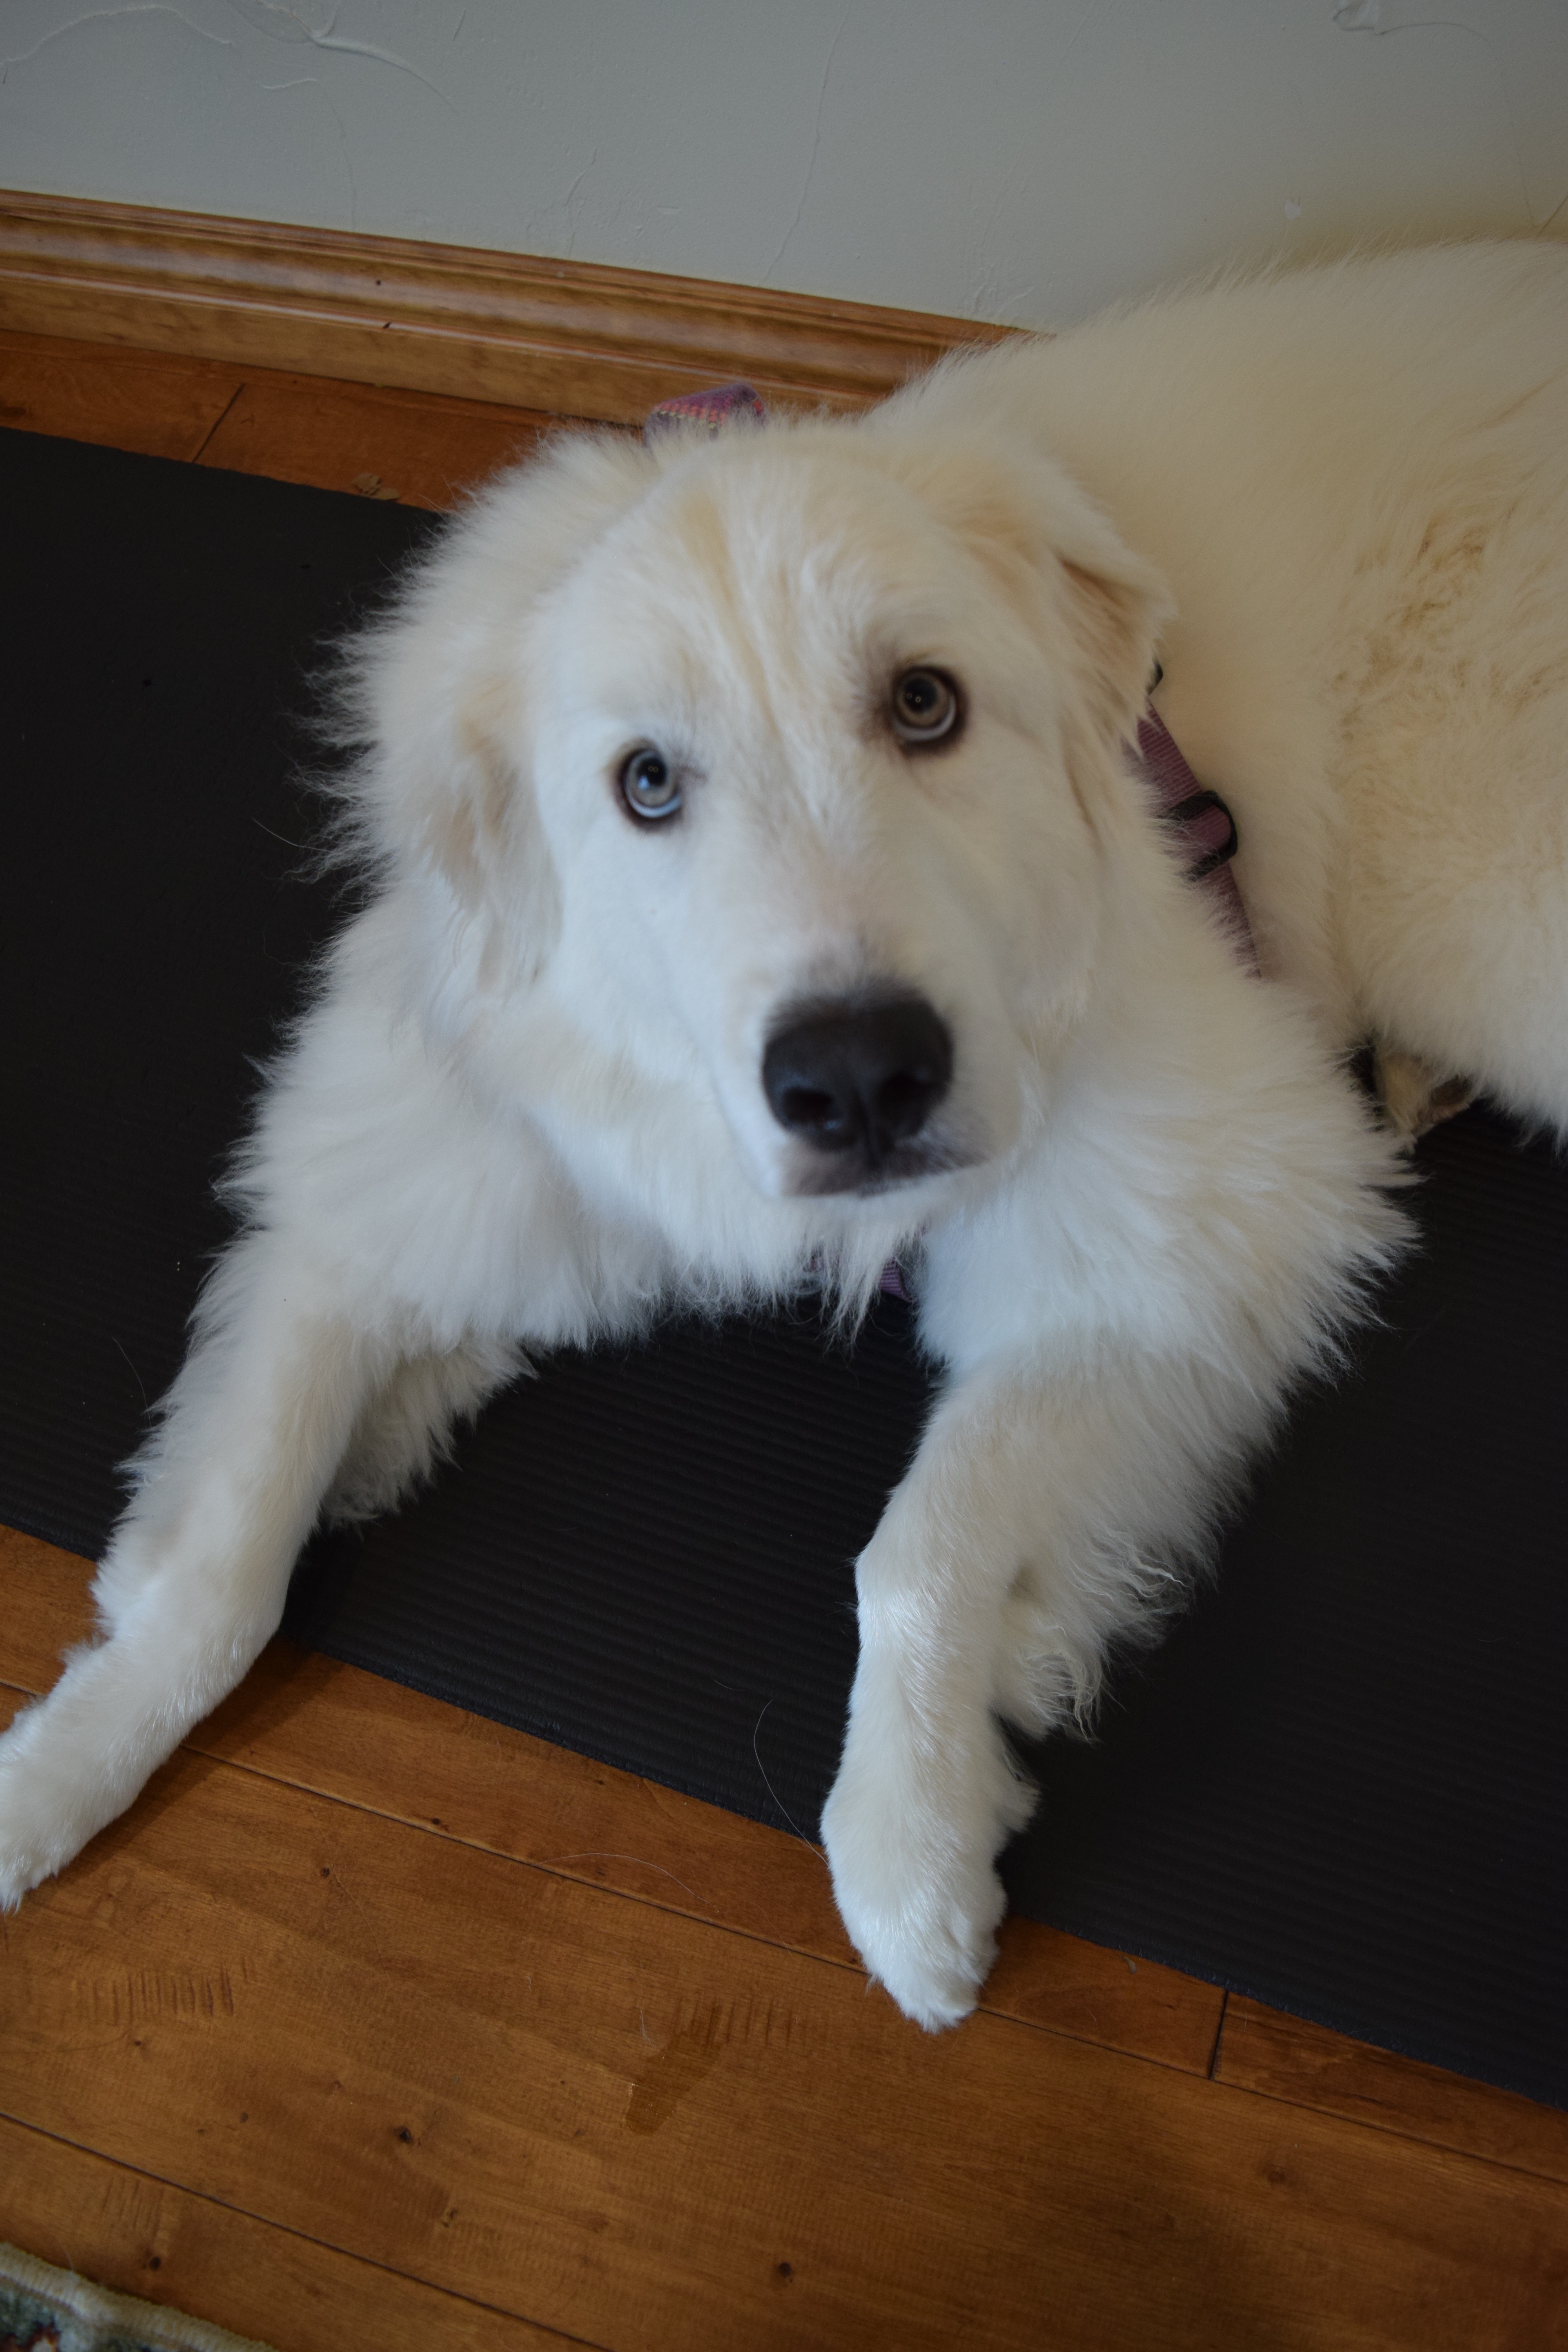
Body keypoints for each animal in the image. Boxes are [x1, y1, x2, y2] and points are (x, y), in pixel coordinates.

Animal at [2, 242, 1564, 2029]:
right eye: (647, 783)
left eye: (925, 704)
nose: (861, 1080)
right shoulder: (404, 1182)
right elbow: (221, 1566)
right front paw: (56, 1774)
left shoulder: (1200, 1210)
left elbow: (919, 1550)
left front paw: (907, 1855)